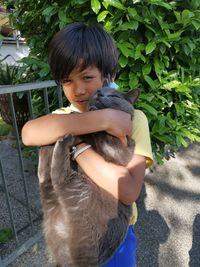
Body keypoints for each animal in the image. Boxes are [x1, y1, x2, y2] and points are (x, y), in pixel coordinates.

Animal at [38, 87, 140, 266]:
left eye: (112, 94)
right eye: (98, 91)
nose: (99, 93)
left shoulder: (121, 150)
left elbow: (101, 134)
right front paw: (75, 116)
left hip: (83, 190)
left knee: (59, 178)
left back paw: (64, 140)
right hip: (51, 197)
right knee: (45, 177)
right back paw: (49, 144)